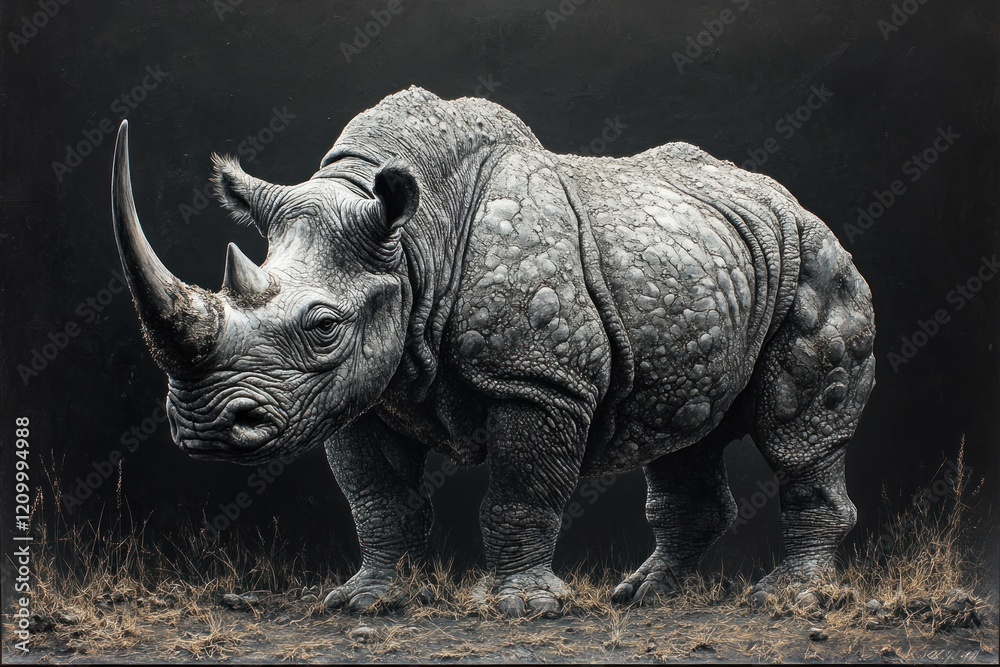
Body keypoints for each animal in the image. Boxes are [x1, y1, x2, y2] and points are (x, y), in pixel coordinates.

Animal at [111, 86, 875, 616]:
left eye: (323, 326)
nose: (206, 428)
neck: (414, 244)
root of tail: (795, 204)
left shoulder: (538, 380)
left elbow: (520, 492)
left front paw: (524, 608)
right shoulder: (356, 393)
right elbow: (378, 499)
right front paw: (363, 601)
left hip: (817, 263)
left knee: (799, 434)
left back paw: (789, 599)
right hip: (717, 267)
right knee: (687, 432)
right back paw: (644, 595)